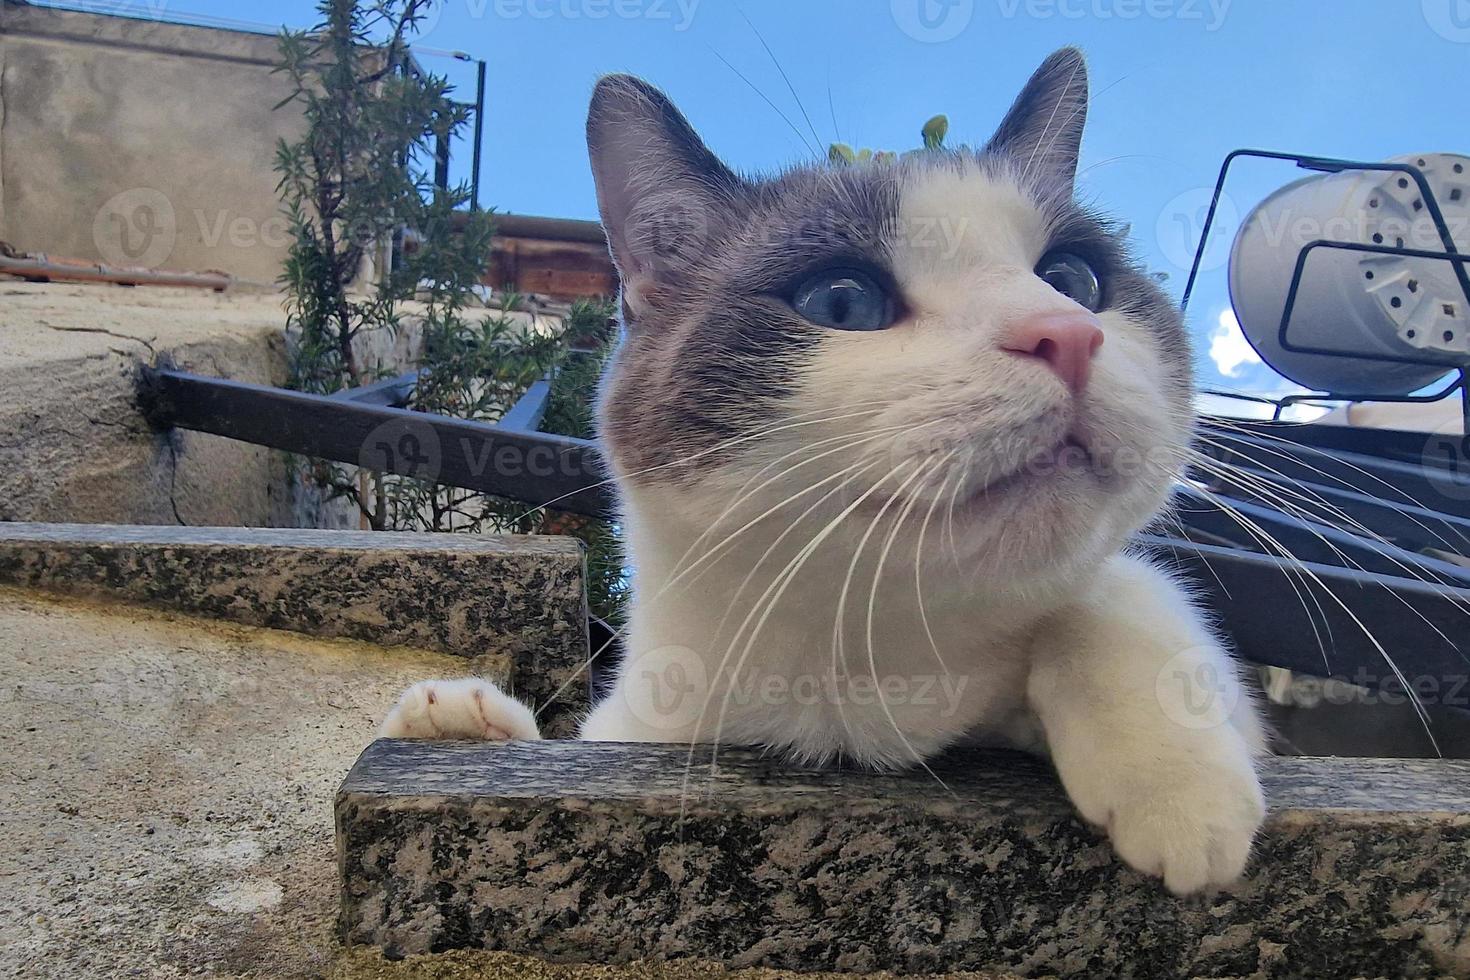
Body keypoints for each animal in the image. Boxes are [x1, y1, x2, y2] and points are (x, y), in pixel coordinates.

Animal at [385, 49, 1270, 899]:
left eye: (1074, 279)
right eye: (843, 301)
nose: (1066, 333)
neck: (852, 687)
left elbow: (1122, 587)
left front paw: (1178, 785)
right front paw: (455, 721)